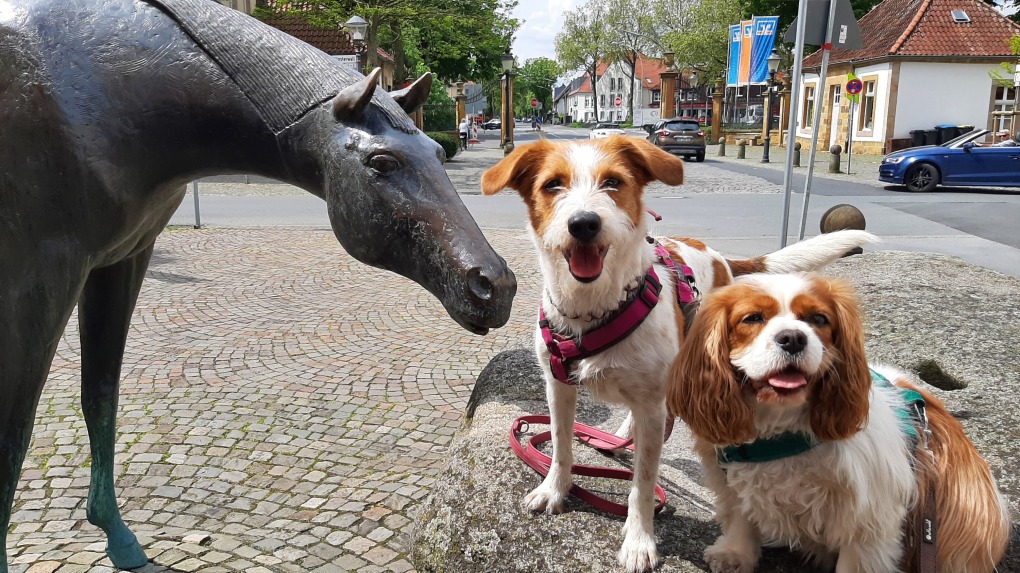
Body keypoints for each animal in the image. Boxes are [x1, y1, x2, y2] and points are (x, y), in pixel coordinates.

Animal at [481, 135, 881, 566]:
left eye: (613, 182)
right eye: (553, 185)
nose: (584, 223)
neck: (595, 306)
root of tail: (718, 256)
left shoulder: (652, 405)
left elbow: (642, 483)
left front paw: (639, 539)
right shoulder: (558, 386)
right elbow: (559, 443)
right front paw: (555, 488)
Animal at [665, 271, 1007, 570]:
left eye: (818, 320)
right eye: (752, 318)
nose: (793, 338)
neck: (781, 428)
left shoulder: (868, 523)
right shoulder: (728, 477)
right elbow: (740, 516)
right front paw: (735, 555)